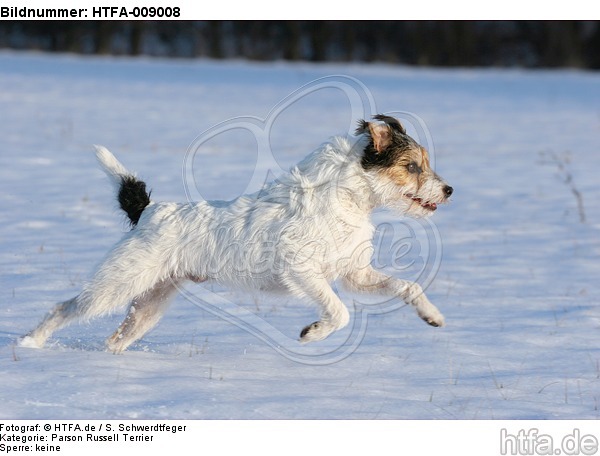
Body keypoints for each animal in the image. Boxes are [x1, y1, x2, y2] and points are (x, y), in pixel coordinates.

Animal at [19, 114, 454, 352]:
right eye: (413, 165)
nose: (449, 190)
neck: (346, 197)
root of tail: (148, 212)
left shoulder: (355, 274)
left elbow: (407, 286)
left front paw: (432, 316)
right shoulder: (303, 272)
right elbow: (339, 312)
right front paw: (312, 334)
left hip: (150, 303)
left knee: (116, 338)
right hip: (117, 285)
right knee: (64, 308)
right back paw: (31, 343)